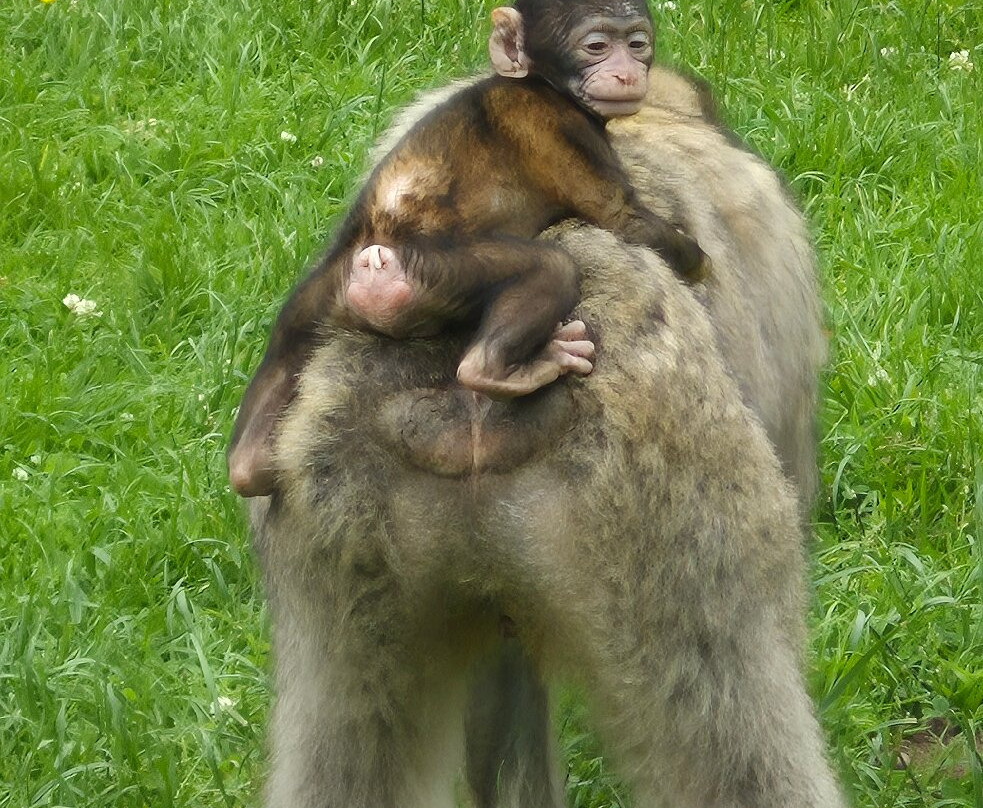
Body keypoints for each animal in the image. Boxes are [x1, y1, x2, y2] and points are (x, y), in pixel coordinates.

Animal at [226, 0, 711, 499]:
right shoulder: (556, 125)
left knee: (253, 452)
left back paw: (250, 463)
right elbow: (621, 217)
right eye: (596, 46)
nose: (625, 71)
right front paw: (699, 264)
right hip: (432, 273)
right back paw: (500, 369)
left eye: (636, 44)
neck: (542, 83)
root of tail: (369, 262)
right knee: (548, 269)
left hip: (311, 306)